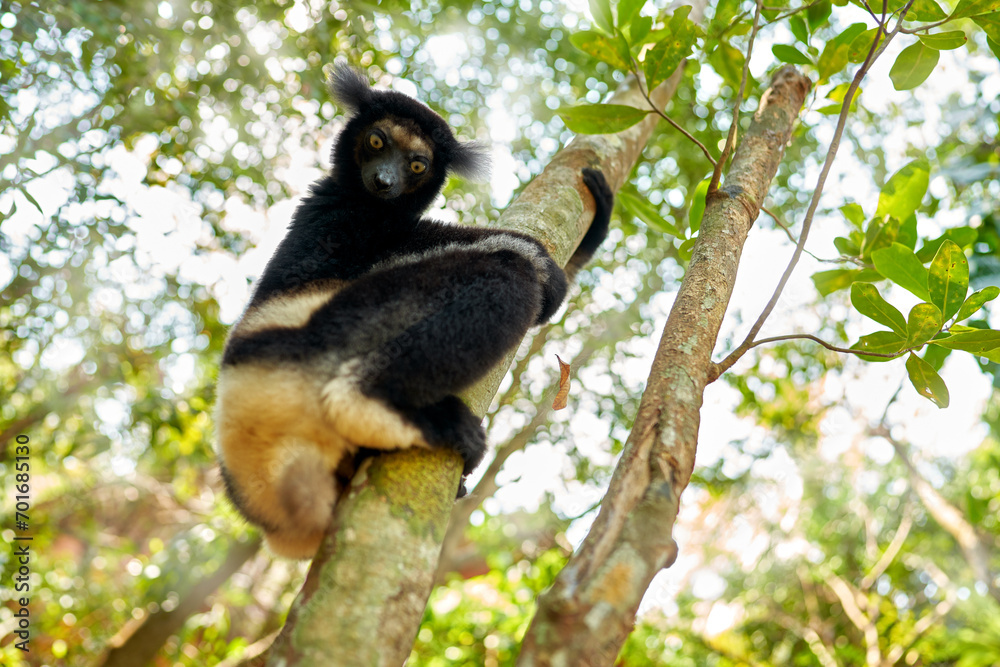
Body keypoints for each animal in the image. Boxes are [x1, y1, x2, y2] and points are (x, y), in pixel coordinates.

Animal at [215, 65, 614, 559]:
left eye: (418, 164)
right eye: (377, 141)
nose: (384, 180)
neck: (366, 198)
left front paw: (595, 229)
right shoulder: (351, 219)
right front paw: (539, 259)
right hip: (340, 331)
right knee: (505, 279)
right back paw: (381, 405)